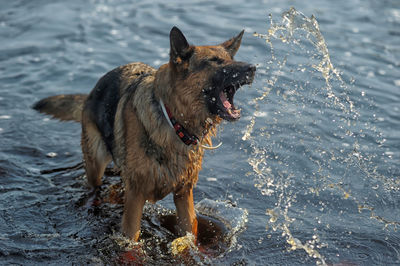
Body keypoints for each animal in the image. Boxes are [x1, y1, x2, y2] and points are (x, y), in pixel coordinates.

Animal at [32, 26, 255, 241]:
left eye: (231, 59)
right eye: (214, 61)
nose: (253, 68)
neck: (173, 121)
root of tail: (92, 91)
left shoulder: (184, 195)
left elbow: (190, 233)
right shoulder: (136, 196)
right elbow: (132, 240)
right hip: (96, 164)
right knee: (94, 188)